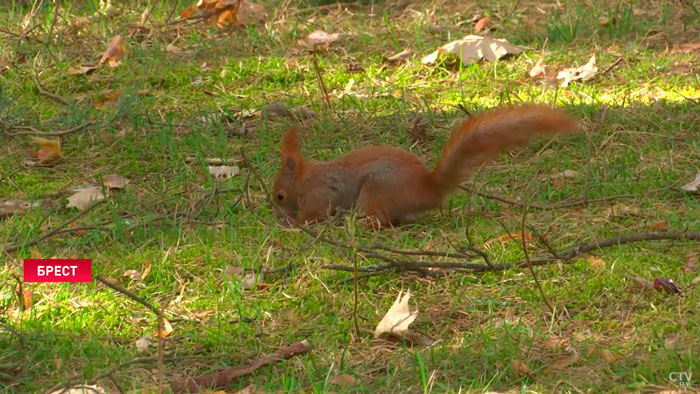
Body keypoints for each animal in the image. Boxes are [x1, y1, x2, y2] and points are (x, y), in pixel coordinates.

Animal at [270, 104, 576, 228]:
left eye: (280, 195)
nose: (276, 214)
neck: (305, 178)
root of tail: (427, 190)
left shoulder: (319, 196)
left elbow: (313, 217)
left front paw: (292, 222)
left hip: (374, 190)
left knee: (381, 222)